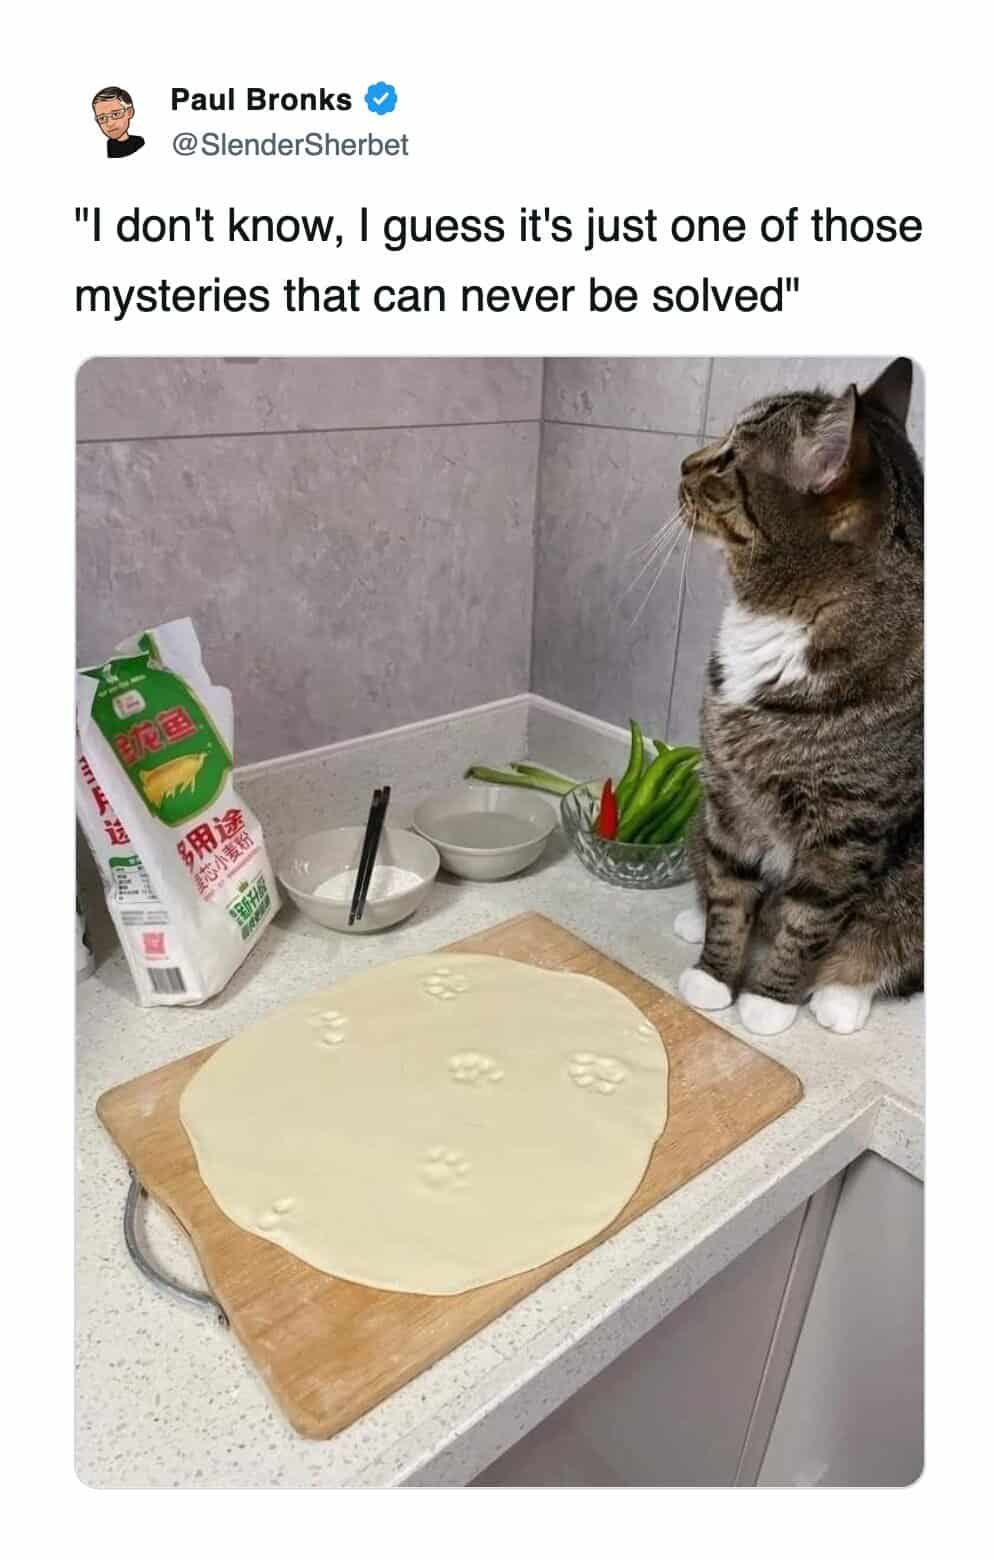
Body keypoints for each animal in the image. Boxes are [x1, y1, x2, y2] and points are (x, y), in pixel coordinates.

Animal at [672, 358, 922, 1037]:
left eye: (729, 459)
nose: (684, 462)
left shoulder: (848, 831)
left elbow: (809, 920)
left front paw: (768, 1000)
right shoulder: (728, 800)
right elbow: (730, 891)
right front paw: (713, 975)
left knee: (882, 948)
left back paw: (841, 999)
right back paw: (691, 918)